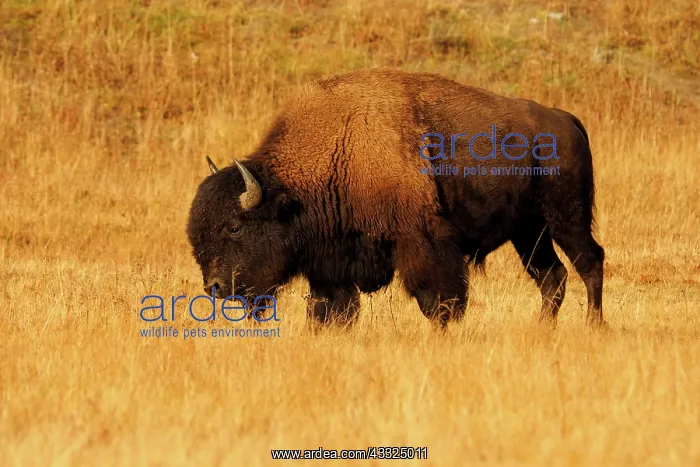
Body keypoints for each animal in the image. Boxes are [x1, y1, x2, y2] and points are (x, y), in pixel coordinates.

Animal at [186, 68, 605, 330]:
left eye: (235, 227)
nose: (215, 288)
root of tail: (564, 119)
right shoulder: (331, 261)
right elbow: (329, 308)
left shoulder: (423, 241)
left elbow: (438, 299)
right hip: (529, 233)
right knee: (552, 276)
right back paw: (543, 328)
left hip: (566, 217)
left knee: (589, 261)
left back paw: (594, 325)